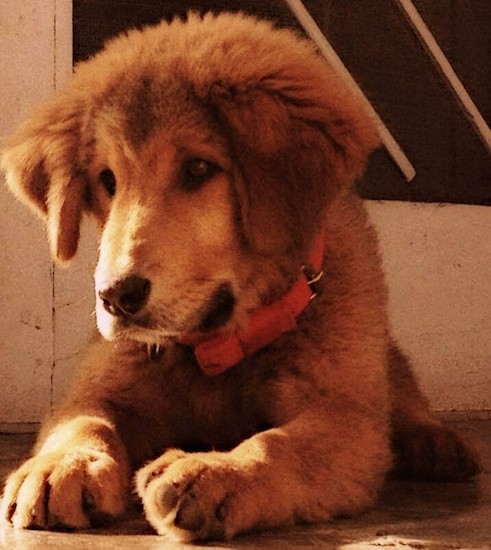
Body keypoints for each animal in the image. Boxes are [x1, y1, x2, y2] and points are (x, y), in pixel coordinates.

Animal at [0, 11, 476, 544]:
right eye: (107, 180)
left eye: (198, 168)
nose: (116, 297)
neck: (219, 348)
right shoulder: (103, 382)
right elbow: (84, 420)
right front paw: (63, 463)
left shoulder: (344, 417)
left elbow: (281, 444)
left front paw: (215, 473)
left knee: (399, 387)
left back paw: (433, 441)